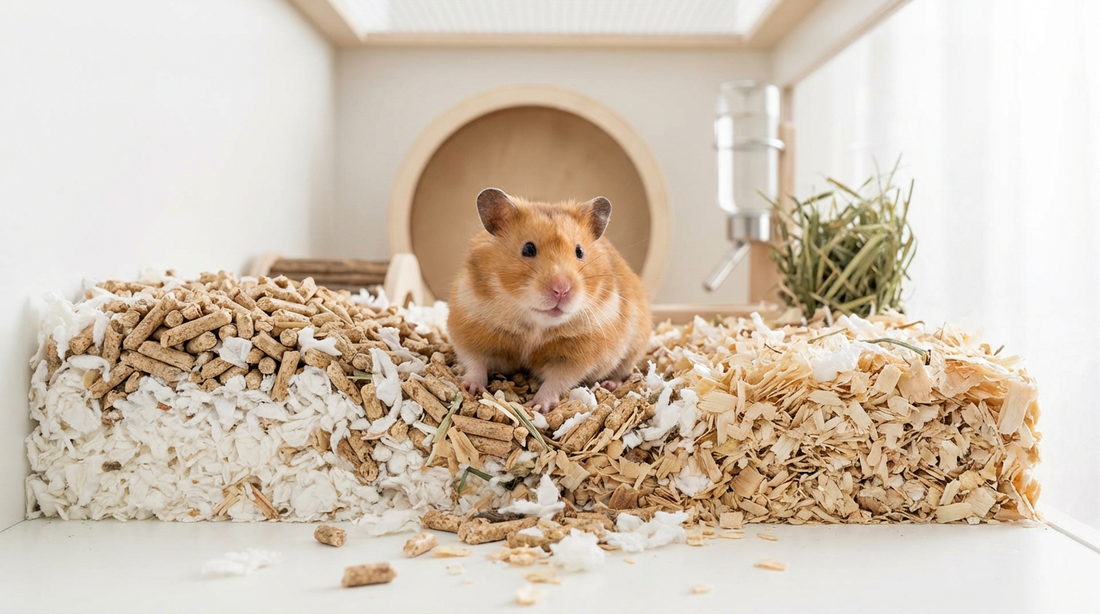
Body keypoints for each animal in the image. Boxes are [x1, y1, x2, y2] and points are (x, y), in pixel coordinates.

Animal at [447, 187, 652, 412]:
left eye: (579, 251)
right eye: (528, 249)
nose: (561, 290)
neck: (535, 327)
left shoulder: (578, 355)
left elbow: (557, 380)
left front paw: (538, 407)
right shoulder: (468, 328)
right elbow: (475, 362)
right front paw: (469, 387)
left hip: (634, 346)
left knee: (621, 371)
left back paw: (609, 384)